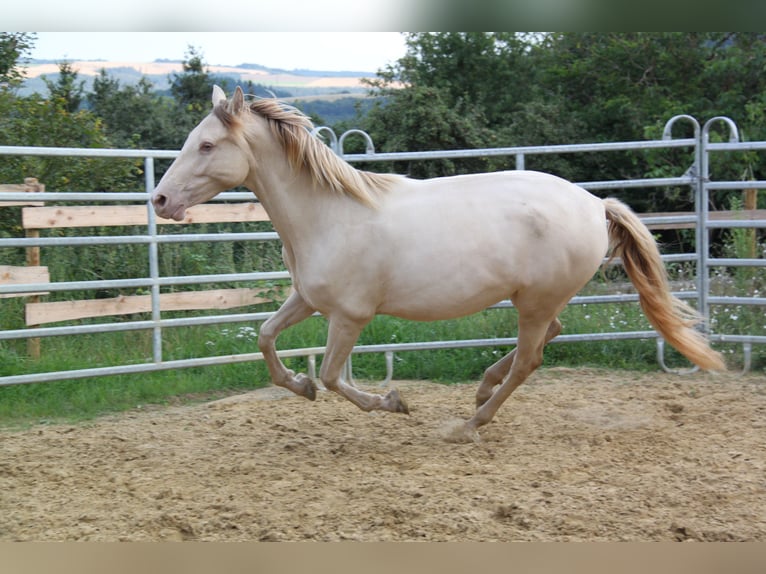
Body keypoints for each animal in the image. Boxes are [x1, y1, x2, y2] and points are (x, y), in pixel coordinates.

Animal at [152, 85, 728, 444]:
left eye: (207, 145)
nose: (159, 200)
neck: (331, 215)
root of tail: (594, 204)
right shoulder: (307, 300)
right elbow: (266, 338)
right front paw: (300, 385)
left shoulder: (349, 316)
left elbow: (337, 377)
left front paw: (393, 403)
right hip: (537, 300)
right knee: (549, 337)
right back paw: (482, 389)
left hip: (535, 301)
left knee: (531, 359)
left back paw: (471, 423)